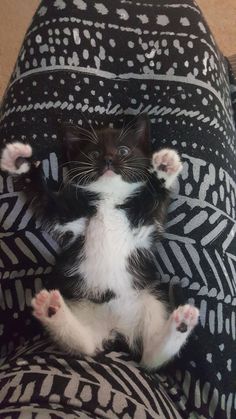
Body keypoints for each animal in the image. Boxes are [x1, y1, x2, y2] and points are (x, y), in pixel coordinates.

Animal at [0, 115, 199, 370]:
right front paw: (21, 163)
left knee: (150, 357)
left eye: (123, 150)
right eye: (94, 153)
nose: (108, 159)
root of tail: (116, 329)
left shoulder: (146, 220)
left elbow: (157, 199)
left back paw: (180, 325)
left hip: (151, 298)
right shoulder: (69, 217)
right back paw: (52, 311)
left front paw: (163, 169)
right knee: (86, 345)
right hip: (81, 307)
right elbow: (44, 199)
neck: (109, 198)